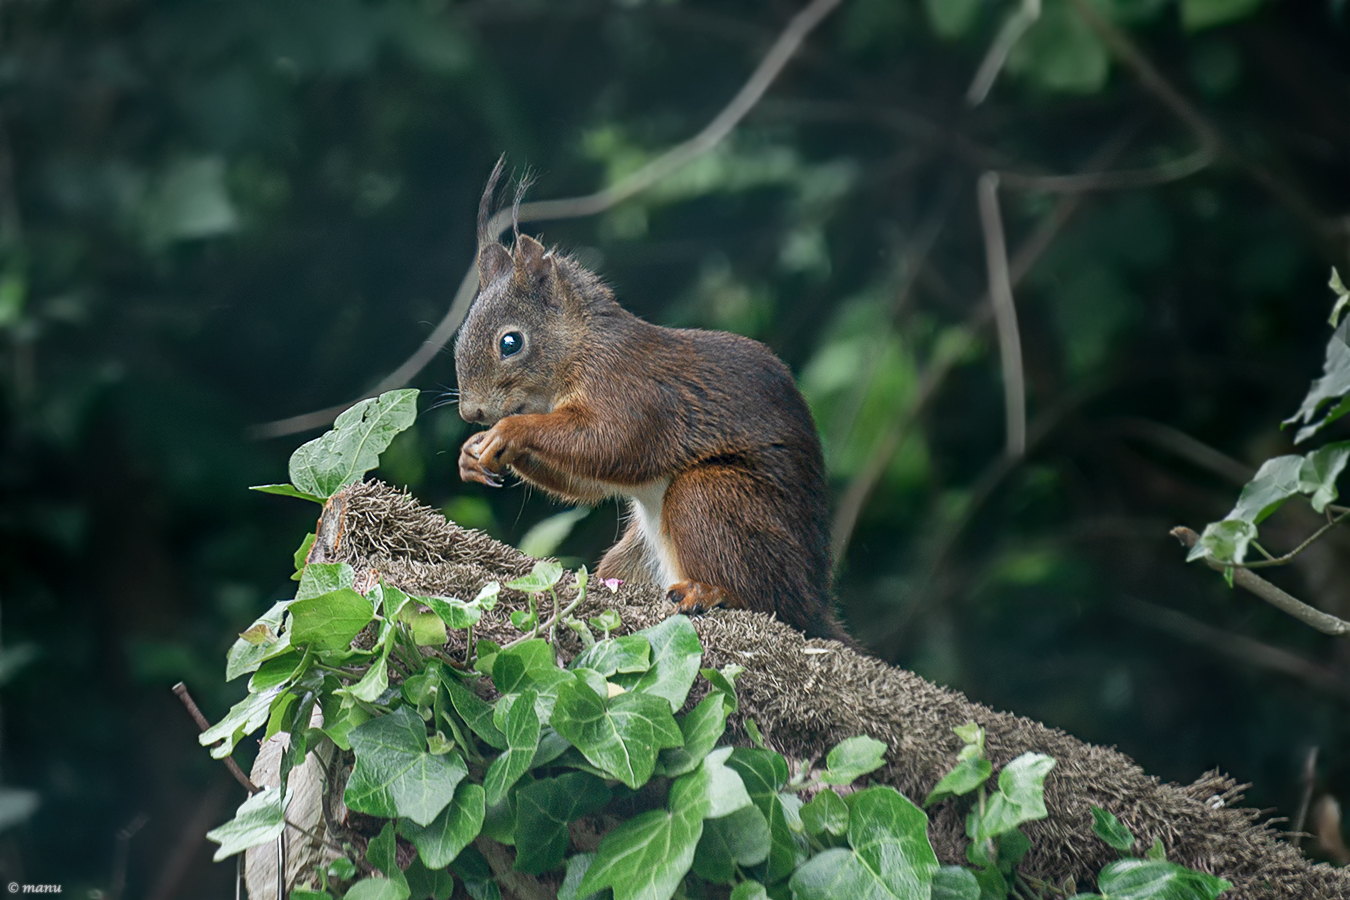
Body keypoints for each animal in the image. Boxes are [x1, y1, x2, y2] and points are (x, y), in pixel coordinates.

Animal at [459, 159, 847, 639]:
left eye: (510, 343)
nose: (471, 412)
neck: (580, 347)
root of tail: (814, 604)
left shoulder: (630, 390)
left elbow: (613, 443)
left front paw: (509, 431)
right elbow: (588, 483)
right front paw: (471, 454)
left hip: (712, 498)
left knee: (764, 599)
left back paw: (709, 592)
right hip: (634, 557)